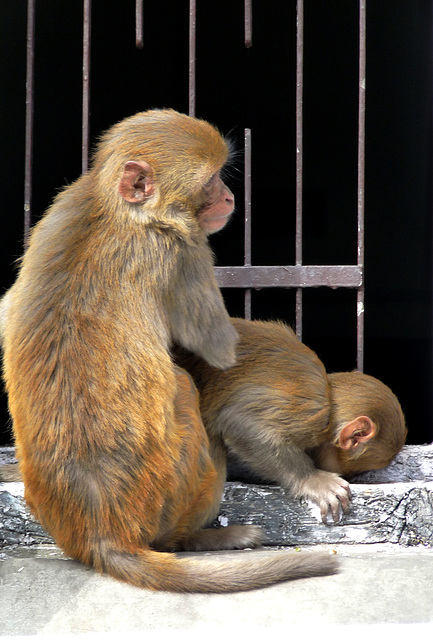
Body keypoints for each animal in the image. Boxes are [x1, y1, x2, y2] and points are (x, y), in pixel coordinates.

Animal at [0, 111, 338, 596]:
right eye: (211, 181)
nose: (230, 196)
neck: (116, 210)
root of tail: (102, 534)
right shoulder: (185, 246)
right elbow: (221, 350)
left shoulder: (62, 206)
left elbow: (7, 307)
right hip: (169, 495)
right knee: (183, 388)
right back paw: (200, 537)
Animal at [175, 318, 404, 524]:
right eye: (354, 471)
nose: (350, 476)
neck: (330, 400)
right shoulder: (312, 412)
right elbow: (240, 423)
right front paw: (312, 479)